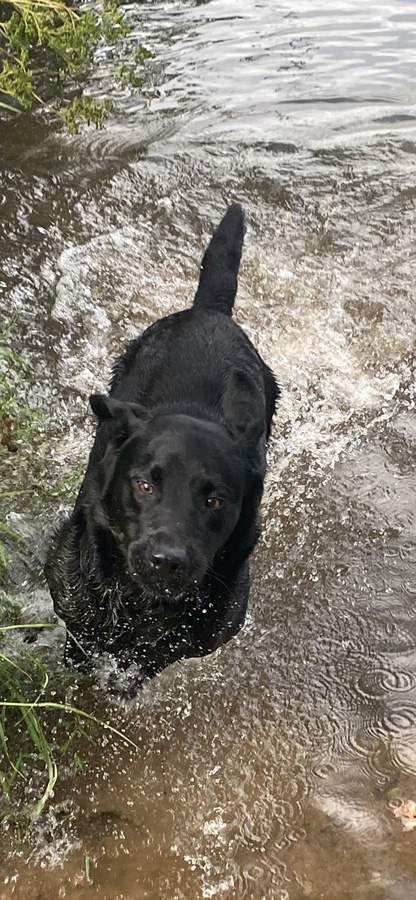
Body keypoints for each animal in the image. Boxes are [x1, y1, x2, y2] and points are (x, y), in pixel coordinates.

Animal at [45, 206, 278, 696]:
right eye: (145, 485)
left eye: (215, 501)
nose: (168, 561)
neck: (141, 603)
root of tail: (210, 311)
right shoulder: (71, 589)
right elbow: (81, 640)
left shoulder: (205, 629)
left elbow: (153, 656)